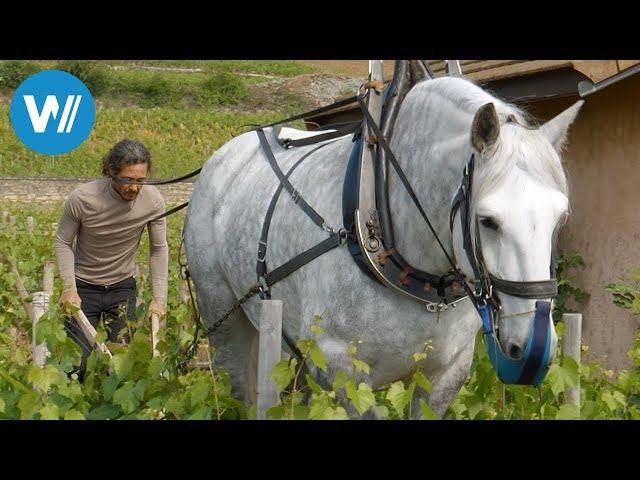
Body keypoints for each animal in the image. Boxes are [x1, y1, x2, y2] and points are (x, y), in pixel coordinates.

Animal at [182, 76, 584, 416]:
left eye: (560, 217)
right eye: (487, 221)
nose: (532, 351)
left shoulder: (445, 374)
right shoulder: (340, 367)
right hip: (225, 321)